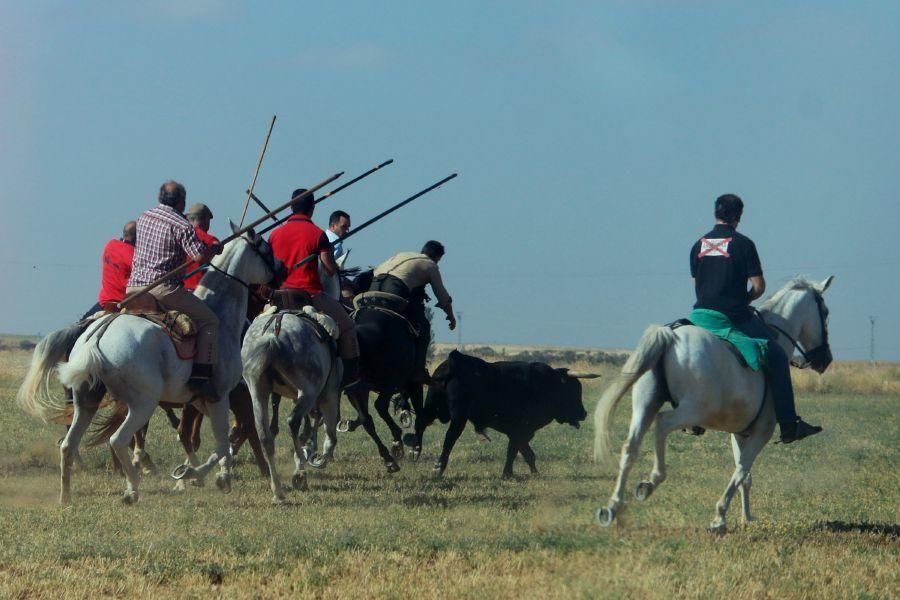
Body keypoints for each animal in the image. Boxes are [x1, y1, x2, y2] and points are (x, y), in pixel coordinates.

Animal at [16, 227, 278, 504]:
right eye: (266, 248)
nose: (280, 272)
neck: (222, 318)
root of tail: (97, 334)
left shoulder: (199, 401)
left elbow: (217, 440)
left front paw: (201, 474)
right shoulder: (220, 397)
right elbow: (220, 442)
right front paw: (206, 476)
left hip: (86, 402)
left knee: (68, 445)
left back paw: (66, 496)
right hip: (143, 403)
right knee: (118, 440)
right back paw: (132, 487)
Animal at [239, 308, 342, 504]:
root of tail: (272, 336)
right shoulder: (330, 395)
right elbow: (331, 436)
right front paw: (316, 459)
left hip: (257, 390)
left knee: (265, 435)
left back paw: (278, 491)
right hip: (308, 392)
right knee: (293, 421)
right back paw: (300, 471)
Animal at [410, 352, 596, 478]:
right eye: (574, 390)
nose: (584, 413)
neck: (547, 384)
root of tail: (456, 360)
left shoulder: (519, 432)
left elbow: (526, 453)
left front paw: (531, 473)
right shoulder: (522, 430)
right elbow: (516, 451)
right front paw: (508, 474)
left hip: (434, 408)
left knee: (421, 423)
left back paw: (415, 451)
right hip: (458, 418)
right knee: (449, 438)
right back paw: (438, 467)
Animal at [596, 274, 832, 532]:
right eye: (825, 312)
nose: (825, 360)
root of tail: (670, 336)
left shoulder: (740, 433)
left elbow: (745, 476)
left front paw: (746, 517)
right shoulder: (762, 432)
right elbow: (741, 470)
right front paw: (720, 517)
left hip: (644, 405)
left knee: (631, 445)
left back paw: (613, 508)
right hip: (690, 410)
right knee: (662, 424)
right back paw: (650, 483)